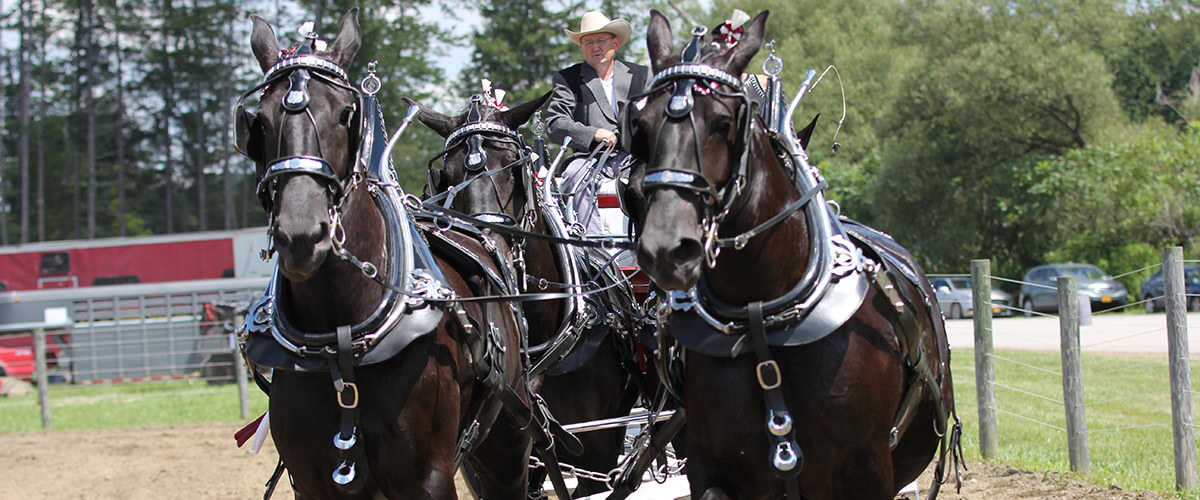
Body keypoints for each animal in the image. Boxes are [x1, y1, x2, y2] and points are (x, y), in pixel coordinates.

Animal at [231, 10, 541, 498]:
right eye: (258, 123)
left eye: (346, 113)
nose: (301, 230)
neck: (341, 340)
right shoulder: (311, 482)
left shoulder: (427, 477)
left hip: (507, 444)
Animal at [618, 10, 962, 500]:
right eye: (642, 127)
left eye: (723, 121)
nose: (667, 246)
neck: (761, 314)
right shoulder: (712, 466)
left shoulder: (868, 469)